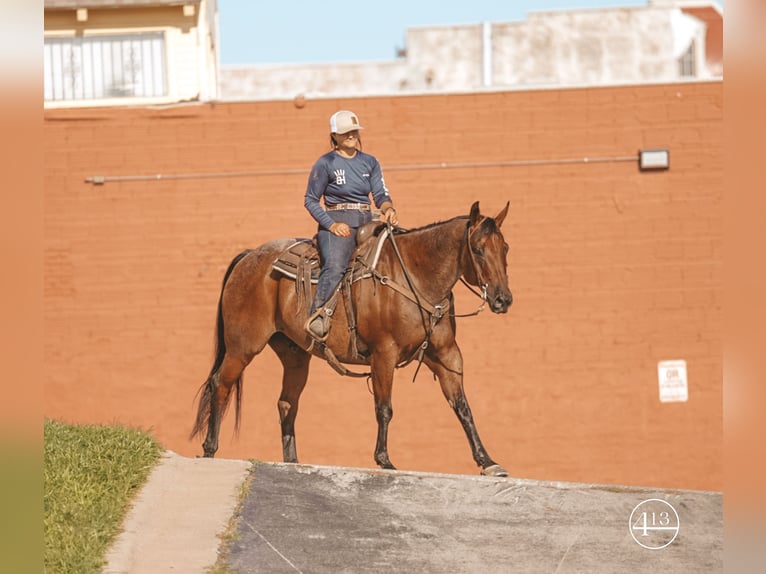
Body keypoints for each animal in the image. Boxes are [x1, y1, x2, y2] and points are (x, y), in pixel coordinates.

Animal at [192, 201, 516, 476]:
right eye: (478, 249)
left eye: (505, 248)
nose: (503, 299)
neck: (415, 275)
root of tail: (249, 256)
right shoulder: (384, 354)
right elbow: (384, 408)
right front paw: (384, 460)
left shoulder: (446, 354)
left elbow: (462, 406)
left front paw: (488, 461)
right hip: (242, 347)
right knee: (221, 384)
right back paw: (209, 449)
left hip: (294, 355)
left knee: (286, 402)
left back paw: (293, 461)